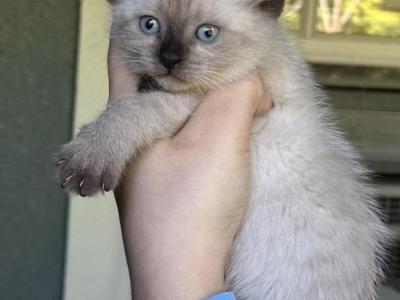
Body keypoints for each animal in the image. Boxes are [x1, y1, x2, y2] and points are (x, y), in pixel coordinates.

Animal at [57, 1, 390, 298]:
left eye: (207, 33)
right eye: (149, 25)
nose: (169, 59)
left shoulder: (191, 101)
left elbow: (129, 110)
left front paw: (84, 162)